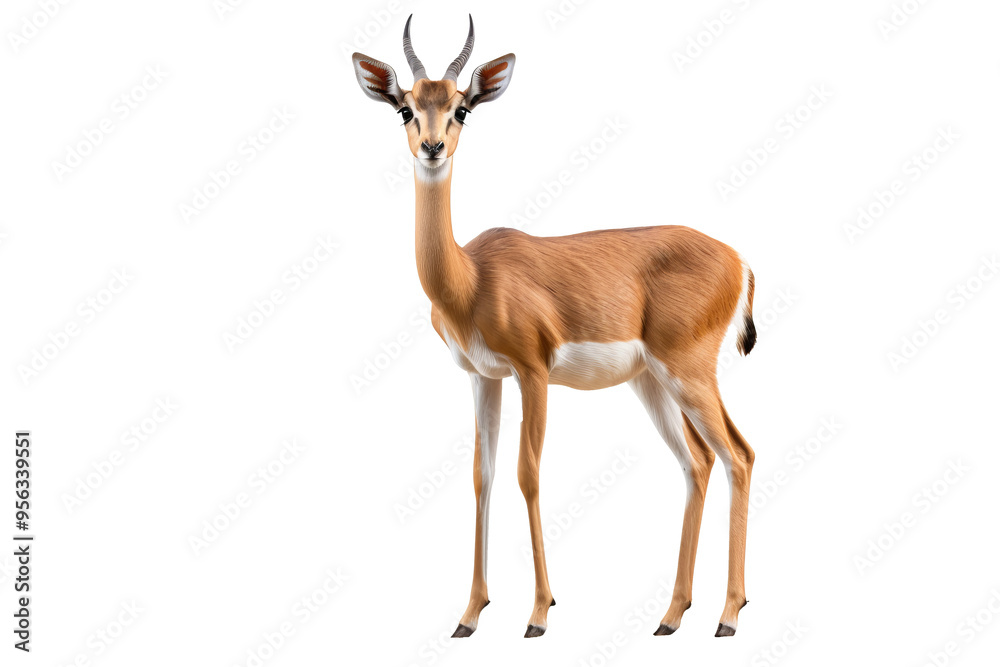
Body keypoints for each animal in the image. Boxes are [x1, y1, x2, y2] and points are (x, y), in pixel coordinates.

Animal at [352, 15, 757, 639]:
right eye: (405, 108)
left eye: (461, 108)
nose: (432, 147)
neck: (471, 278)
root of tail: (739, 260)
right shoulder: (484, 377)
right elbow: (483, 475)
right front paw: (470, 614)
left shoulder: (533, 372)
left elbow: (529, 473)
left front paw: (540, 613)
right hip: (652, 382)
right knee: (699, 462)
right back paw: (671, 615)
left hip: (689, 373)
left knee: (738, 455)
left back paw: (729, 615)